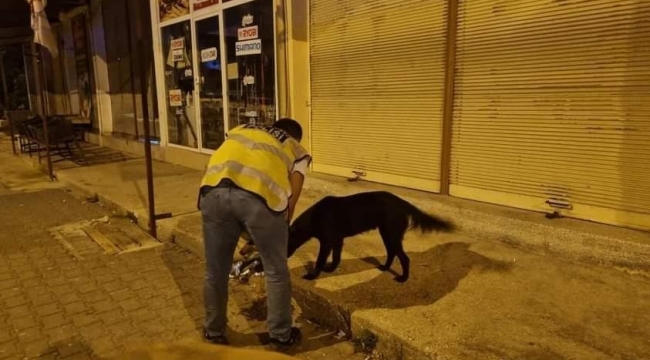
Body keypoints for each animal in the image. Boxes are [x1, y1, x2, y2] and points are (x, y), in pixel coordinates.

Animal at [286, 193, 454, 282]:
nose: (285, 258)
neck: (313, 218)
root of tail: (403, 202)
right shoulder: (337, 240)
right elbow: (335, 257)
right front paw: (331, 269)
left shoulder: (327, 242)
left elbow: (320, 260)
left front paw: (312, 276)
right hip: (386, 234)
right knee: (392, 253)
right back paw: (385, 267)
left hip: (391, 234)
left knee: (404, 258)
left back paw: (403, 278)